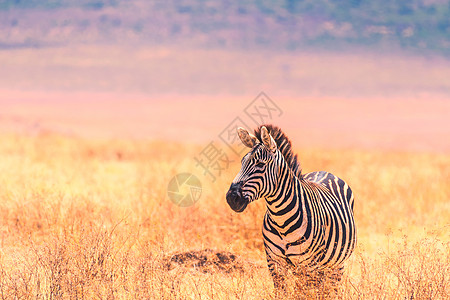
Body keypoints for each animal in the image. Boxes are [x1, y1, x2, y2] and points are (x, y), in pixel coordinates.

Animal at [225, 124, 356, 290]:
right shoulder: (274, 262)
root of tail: (324, 172)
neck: (281, 220)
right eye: (242, 162)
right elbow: (283, 291)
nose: (231, 197)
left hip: (336, 265)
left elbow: (308, 293)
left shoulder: (309, 264)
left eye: (260, 164)